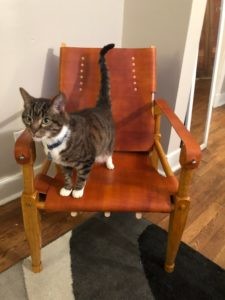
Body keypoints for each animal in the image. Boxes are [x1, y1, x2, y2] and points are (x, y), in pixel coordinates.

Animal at [18, 44, 116, 199]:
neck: (53, 143)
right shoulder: (64, 164)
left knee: (109, 150)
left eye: (46, 120)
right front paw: (67, 188)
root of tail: (101, 106)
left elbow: (82, 176)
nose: (33, 130)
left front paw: (77, 191)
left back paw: (109, 163)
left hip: (109, 138)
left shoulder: (88, 158)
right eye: (28, 118)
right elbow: (67, 175)